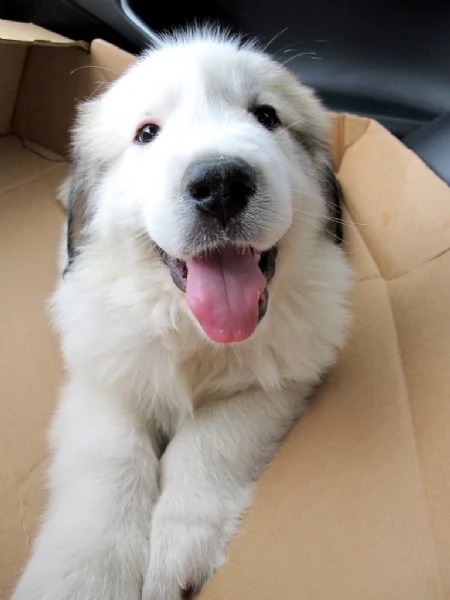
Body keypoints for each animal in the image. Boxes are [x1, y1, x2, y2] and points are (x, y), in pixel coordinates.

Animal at [11, 28, 352, 600]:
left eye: (266, 115)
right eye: (147, 133)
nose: (221, 182)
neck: (194, 331)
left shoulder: (278, 380)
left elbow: (212, 441)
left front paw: (175, 552)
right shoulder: (102, 376)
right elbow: (112, 459)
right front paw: (85, 576)